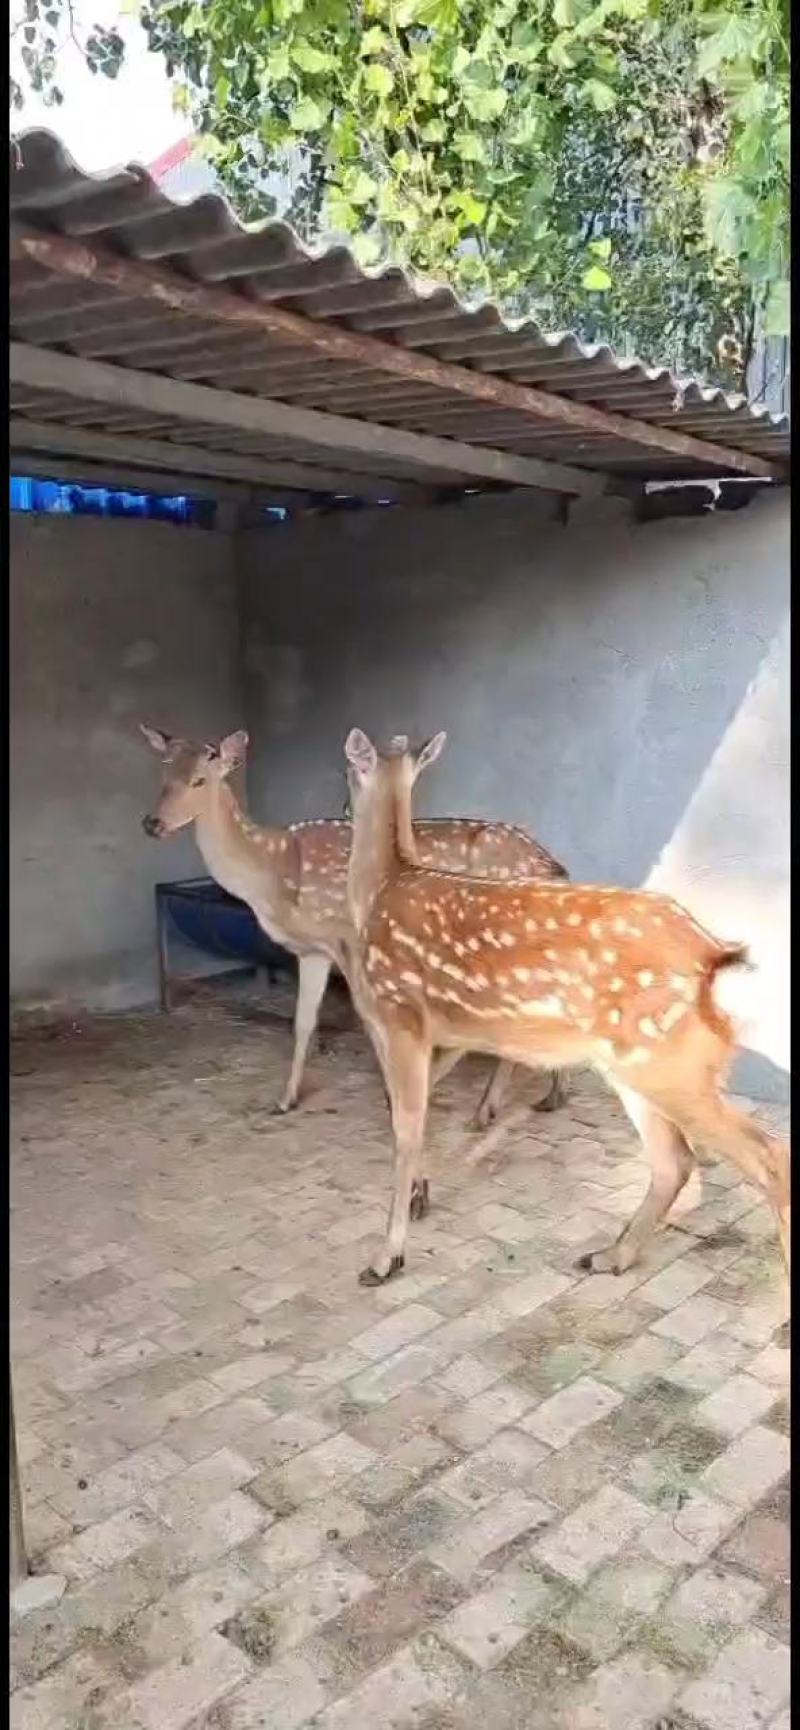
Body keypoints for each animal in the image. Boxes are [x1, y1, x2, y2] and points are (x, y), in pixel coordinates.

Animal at [140, 725, 569, 1128]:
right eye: (163, 772)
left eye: (200, 780)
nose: (152, 823)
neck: (274, 872)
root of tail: (554, 868)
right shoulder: (312, 950)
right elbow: (303, 1022)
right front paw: (285, 1100)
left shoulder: (347, 939)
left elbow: (369, 1022)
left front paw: (390, 1095)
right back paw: (550, 1096)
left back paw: (488, 1109)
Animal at [342, 728, 790, 1313]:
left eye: (348, 772)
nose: (340, 807)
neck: (382, 886)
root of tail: (715, 957)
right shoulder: (451, 1029)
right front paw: (421, 1194)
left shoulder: (400, 1017)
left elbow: (407, 1127)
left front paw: (385, 1258)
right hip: (641, 1064)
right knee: (675, 1160)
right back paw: (609, 1255)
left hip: (669, 1063)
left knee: (768, 1157)